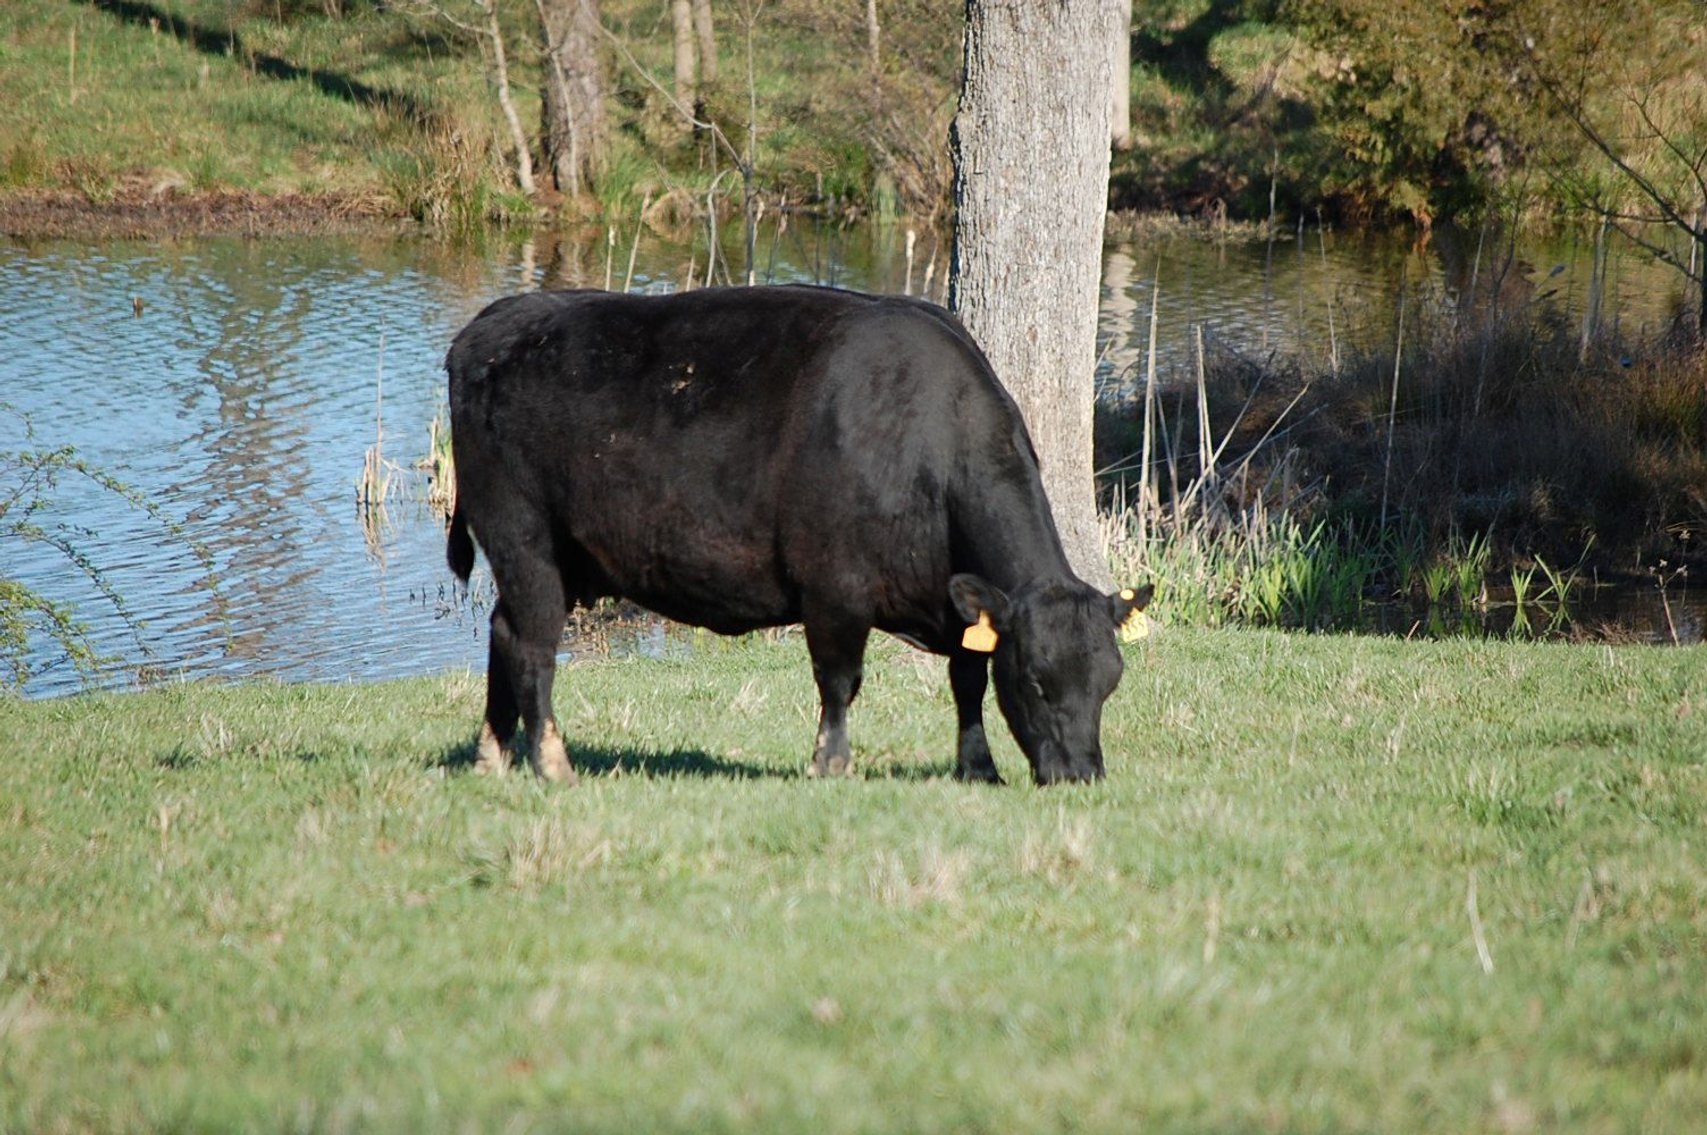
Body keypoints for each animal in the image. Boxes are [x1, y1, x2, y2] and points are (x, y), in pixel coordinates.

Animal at [444, 284, 1151, 786]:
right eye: (1035, 680)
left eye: (1110, 682)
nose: (1081, 775)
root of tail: (496, 319)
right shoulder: (834, 585)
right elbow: (839, 679)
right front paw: (831, 762)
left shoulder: (959, 604)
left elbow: (968, 679)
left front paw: (978, 767)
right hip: (523, 536)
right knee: (532, 645)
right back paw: (550, 763)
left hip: (553, 554)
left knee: (502, 632)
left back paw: (492, 754)